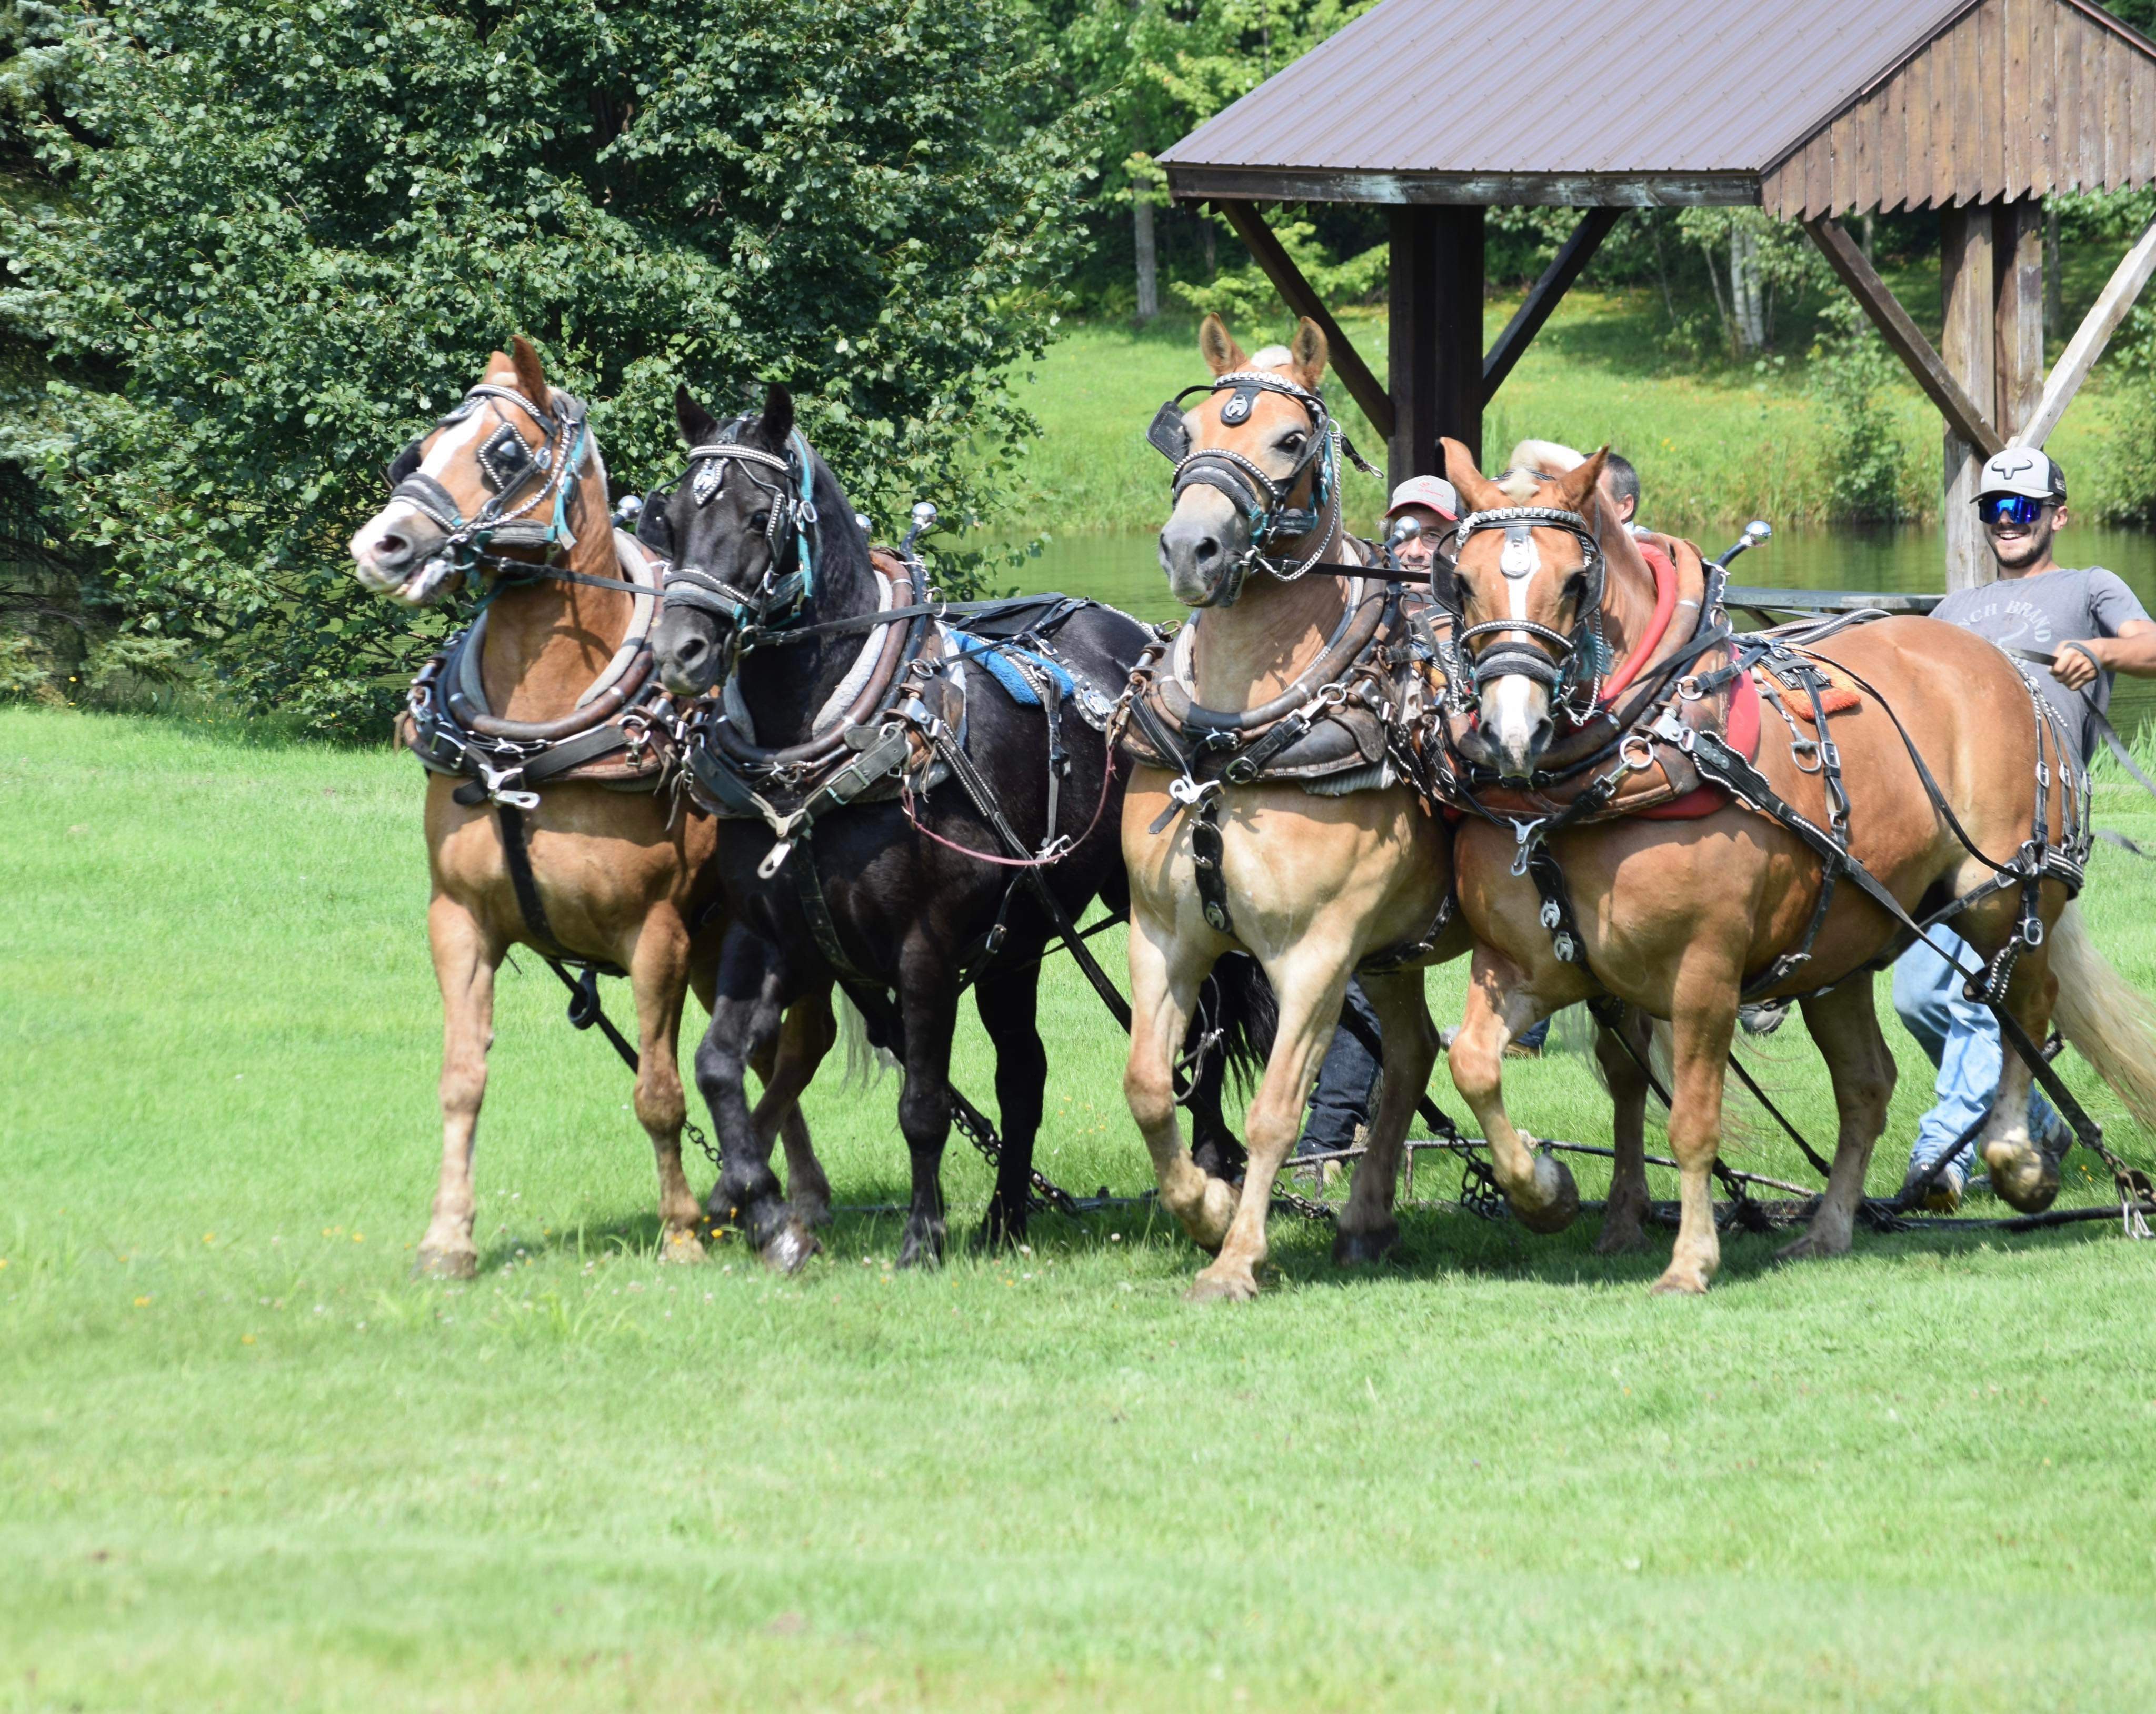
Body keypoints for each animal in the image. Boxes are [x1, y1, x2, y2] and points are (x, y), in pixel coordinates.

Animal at [347, 339, 835, 1278]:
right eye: (416, 449)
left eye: (504, 453)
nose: (379, 544)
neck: (530, 744)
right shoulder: (458, 919)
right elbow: (461, 1081)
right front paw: (447, 1239)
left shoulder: (657, 935)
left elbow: (659, 1091)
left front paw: (681, 1229)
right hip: (723, 950)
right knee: (769, 1056)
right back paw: (792, 1197)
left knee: (799, 1045)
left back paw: (774, 1202)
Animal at [643, 381, 1265, 1270]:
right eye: (668, 517)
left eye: (760, 515)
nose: (680, 650)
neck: (825, 747)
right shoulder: (773, 939)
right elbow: (719, 1067)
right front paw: (765, 1212)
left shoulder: (925, 950)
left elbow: (923, 1103)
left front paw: (921, 1237)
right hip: (1020, 939)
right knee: (1025, 1073)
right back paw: (1007, 1216)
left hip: (1158, 902)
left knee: (1201, 1027)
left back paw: (1214, 1166)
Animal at [1120, 315, 1654, 1301]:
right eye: (1192, 432)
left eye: (1291, 442)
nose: (1191, 548)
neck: (1238, 737)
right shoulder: (1165, 931)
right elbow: (1145, 1085)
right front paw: (1206, 1207)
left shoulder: (1315, 953)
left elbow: (1274, 1109)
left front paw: (1236, 1258)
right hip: (1394, 950)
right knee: (1409, 1056)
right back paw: (1367, 1220)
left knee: (1626, 1063)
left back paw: (1614, 1212)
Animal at [1435, 439, 2156, 1293]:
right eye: (1461, 579)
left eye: (1575, 582)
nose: (1511, 733)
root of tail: (2002, 660)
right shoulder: (1521, 965)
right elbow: (1477, 1063)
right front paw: (1544, 1190)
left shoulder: (1704, 972)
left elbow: (1691, 1119)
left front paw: (1690, 1260)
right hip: (1838, 940)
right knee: (1869, 1083)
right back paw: (1831, 1226)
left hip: (2001, 890)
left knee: (2024, 1005)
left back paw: (2017, 1157)